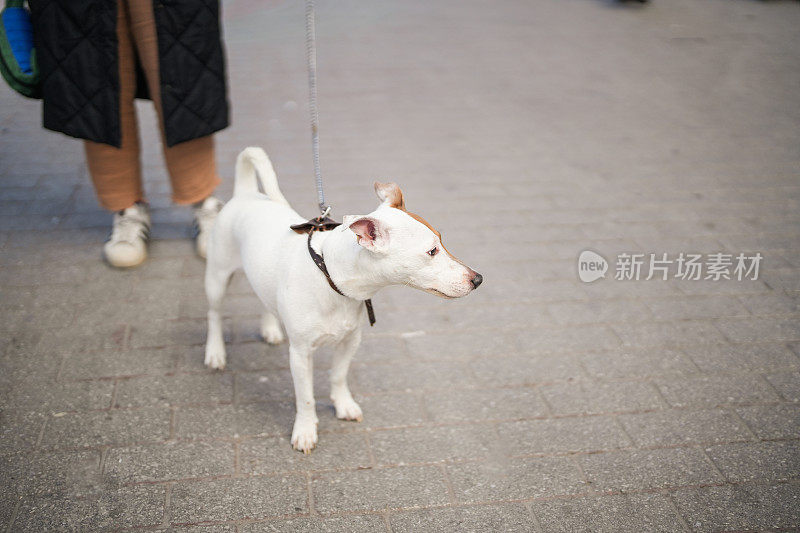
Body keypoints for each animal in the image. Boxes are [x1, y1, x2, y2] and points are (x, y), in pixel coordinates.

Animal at [206, 148, 482, 450]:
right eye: (432, 251)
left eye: (442, 241)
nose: (478, 279)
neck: (332, 278)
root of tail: (246, 194)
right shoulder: (300, 354)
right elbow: (305, 397)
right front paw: (305, 430)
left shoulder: (351, 340)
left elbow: (338, 376)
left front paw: (343, 405)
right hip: (217, 277)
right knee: (214, 315)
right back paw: (215, 351)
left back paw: (269, 328)